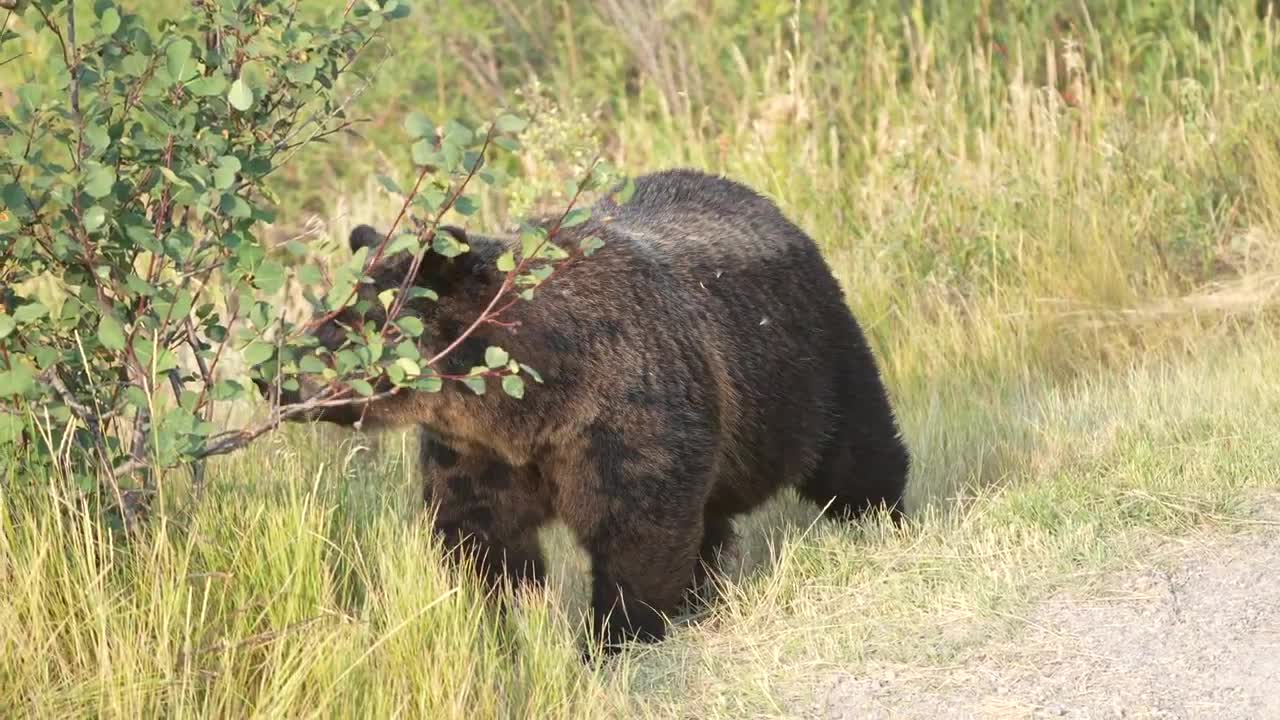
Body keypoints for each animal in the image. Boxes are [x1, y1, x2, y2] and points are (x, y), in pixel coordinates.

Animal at [271, 166, 911, 650]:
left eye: (356, 321)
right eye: (327, 306)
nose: (271, 374)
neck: (529, 403)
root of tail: (768, 206)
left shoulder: (621, 413)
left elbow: (636, 527)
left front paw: (615, 635)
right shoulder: (477, 450)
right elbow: (480, 536)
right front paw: (506, 619)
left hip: (803, 362)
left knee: (853, 451)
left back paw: (883, 519)